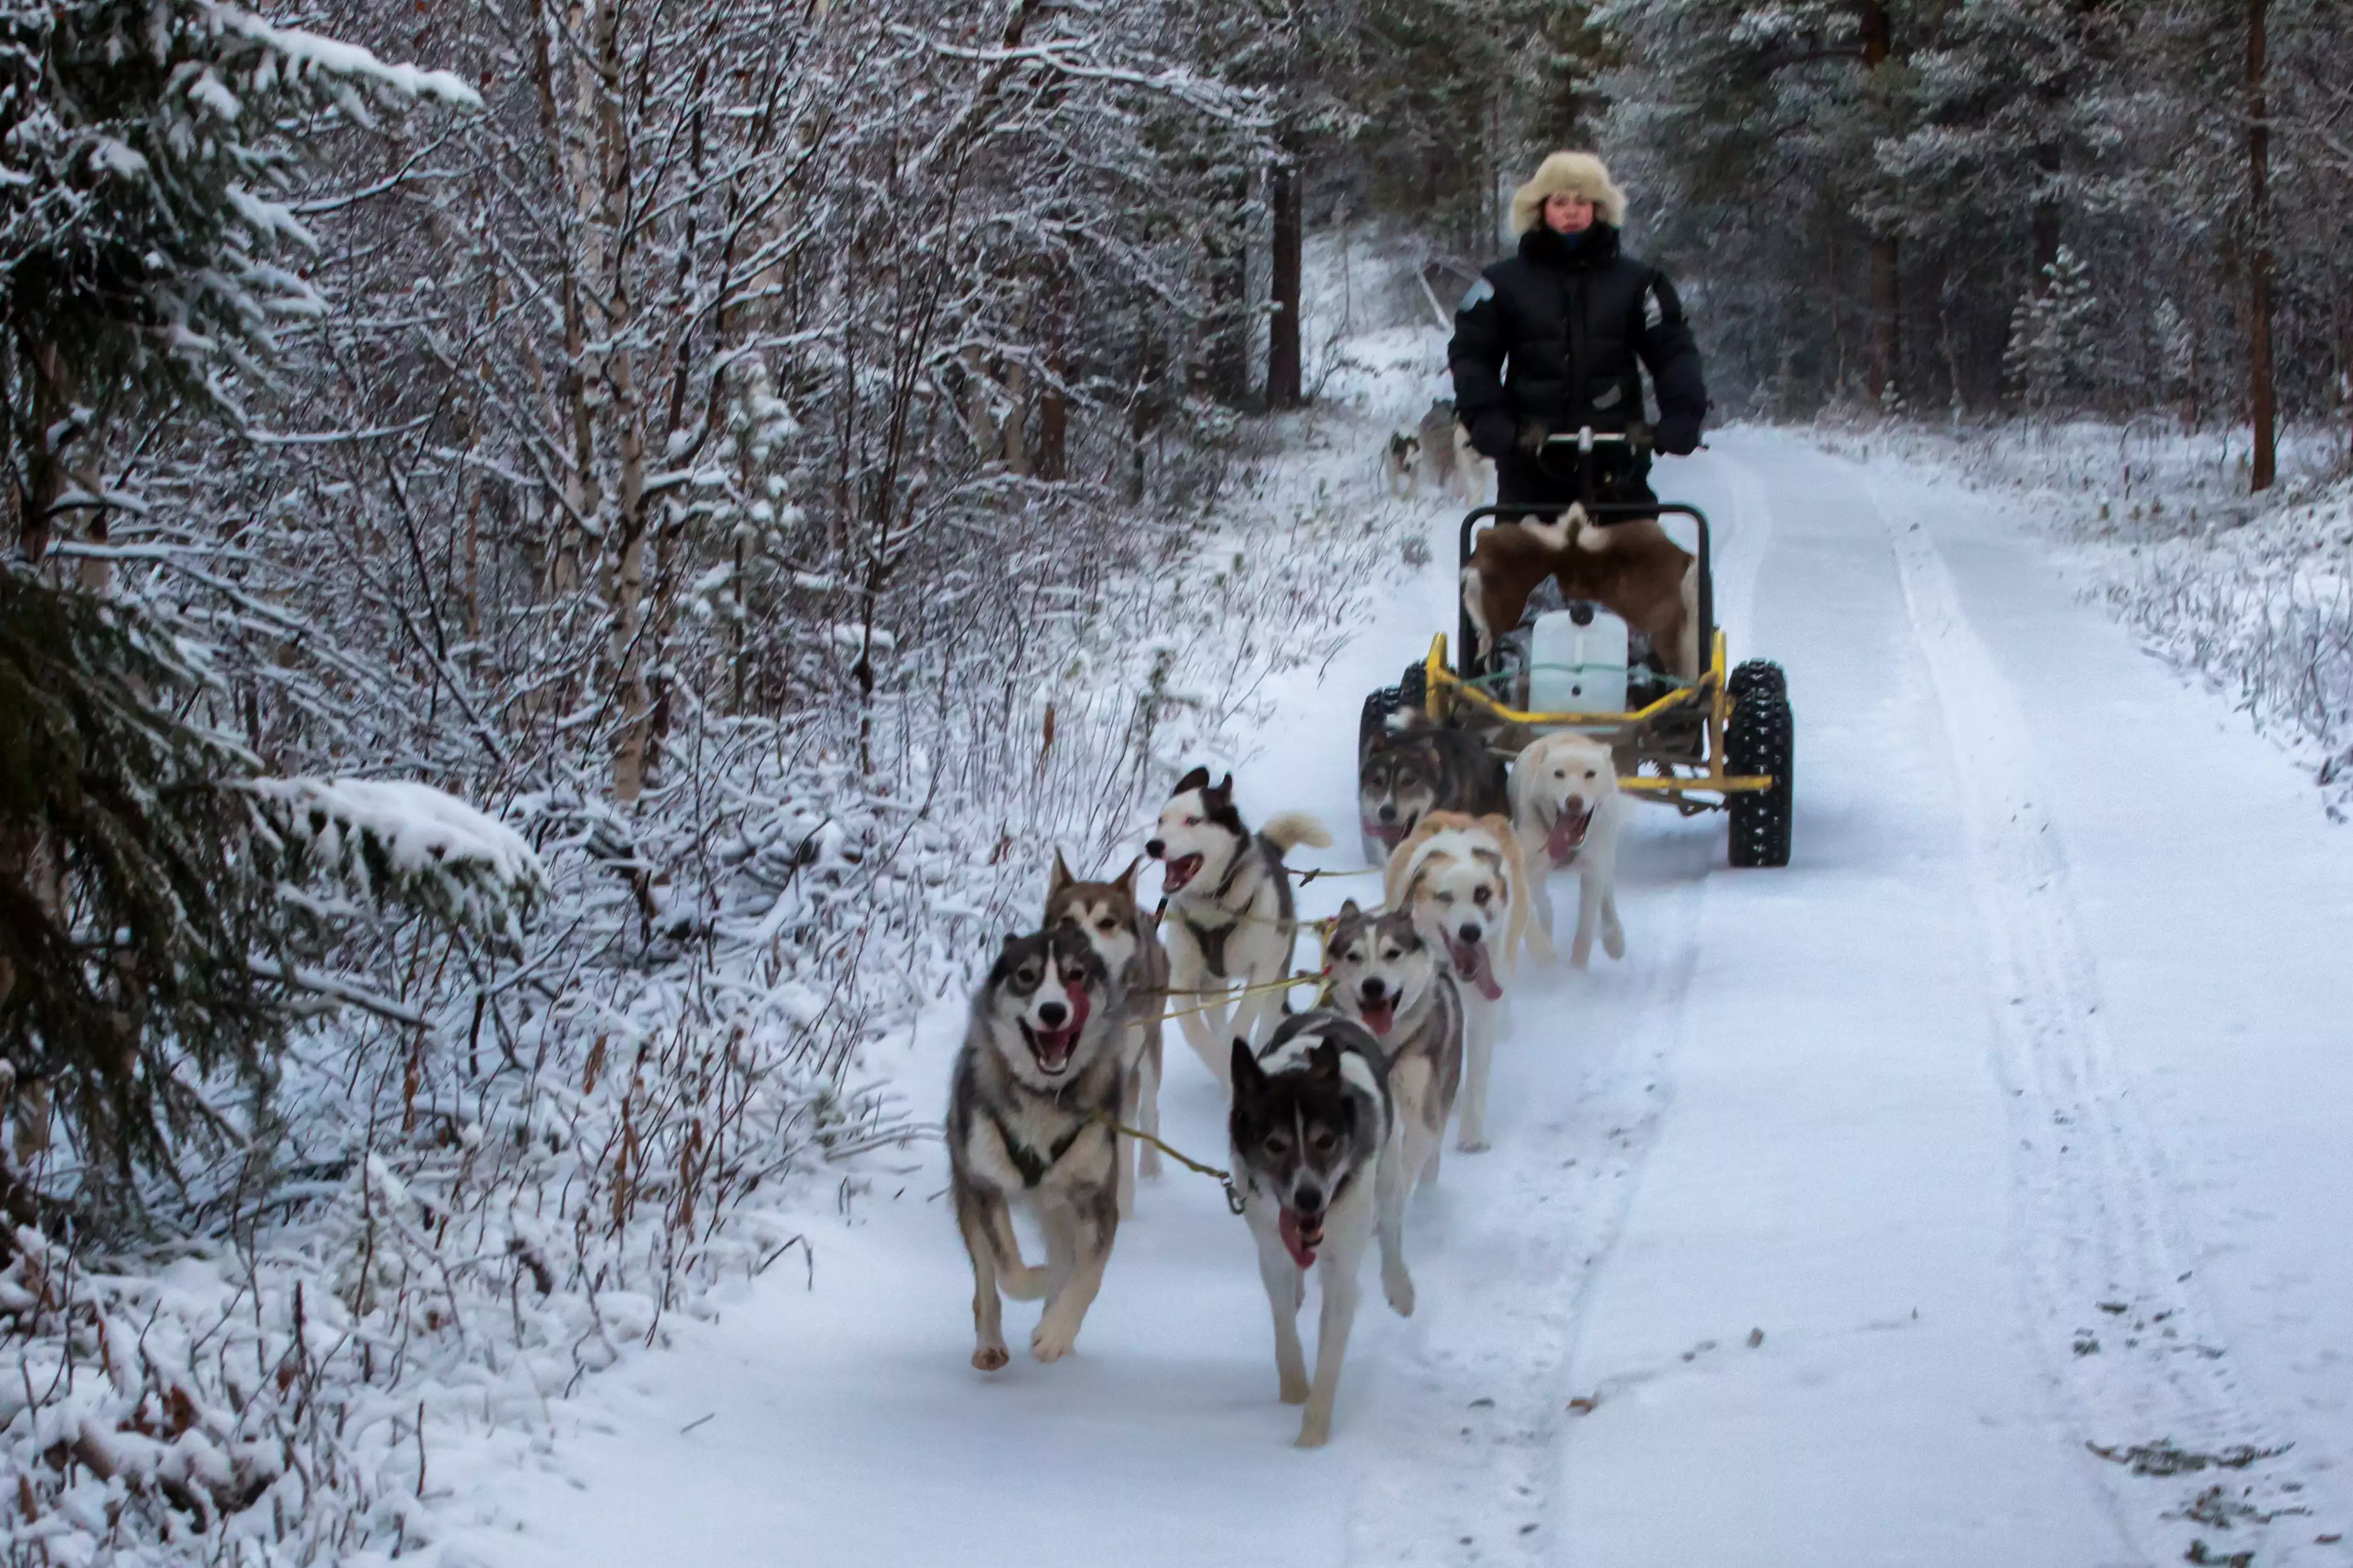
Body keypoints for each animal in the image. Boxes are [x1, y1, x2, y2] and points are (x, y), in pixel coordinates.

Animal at [945, 926, 1129, 1363]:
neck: (1044, 1097)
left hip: (1060, 1207)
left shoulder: (1097, 1196)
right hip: (968, 1191)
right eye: (1026, 976)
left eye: (1076, 975)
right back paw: (991, 1343)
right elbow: (1009, 1271)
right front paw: (1044, 1281)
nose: (1053, 1012)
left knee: (1065, 1251)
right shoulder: (986, 1187)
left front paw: (1057, 1332)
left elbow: (1089, 1273)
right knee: (986, 1280)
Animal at [1148, 770, 1336, 1090]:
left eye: (1192, 820)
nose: (1153, 845)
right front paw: (1222, 1062)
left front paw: (1233, 1047)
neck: (1214, 906)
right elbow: (1195, 1033)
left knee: (1267, 1017)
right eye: (1161, 820)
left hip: (1277, 972)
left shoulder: (1265, 968)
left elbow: (1245, 1015)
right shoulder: (1182, 979)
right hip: (1214, 985)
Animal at [1233, 1020, 1411, 1448]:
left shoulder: (1341, 1266)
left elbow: (1331, 1346)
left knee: (1392, 1226)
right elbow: (1283, 1321)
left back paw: (1400, 1287)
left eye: (1325, 1141)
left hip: (1390, 1172)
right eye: (1275, 1145)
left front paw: (1311, 1437)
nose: (1309, 1198)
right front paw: (1295, 1390)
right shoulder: (1271, 1249)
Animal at [1374, 808, 1543, 1151]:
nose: (1471, 932)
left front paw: (1472, 1135)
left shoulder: (1482, 1005)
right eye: (1445, 897)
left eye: (1482, 893)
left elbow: (1478, 1066)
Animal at [1515, 733, 1628, 968]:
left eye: (1590, 774)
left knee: (1608, 891)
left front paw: (1577, 971)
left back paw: (1614, 939)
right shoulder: (1524, 870)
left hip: (1605, 853)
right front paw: (1542, 952)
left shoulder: (1593, 873)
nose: (1574, 801)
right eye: (1559, 774)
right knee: (1545, 907)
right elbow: (1529, 915)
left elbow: (1585, 927)